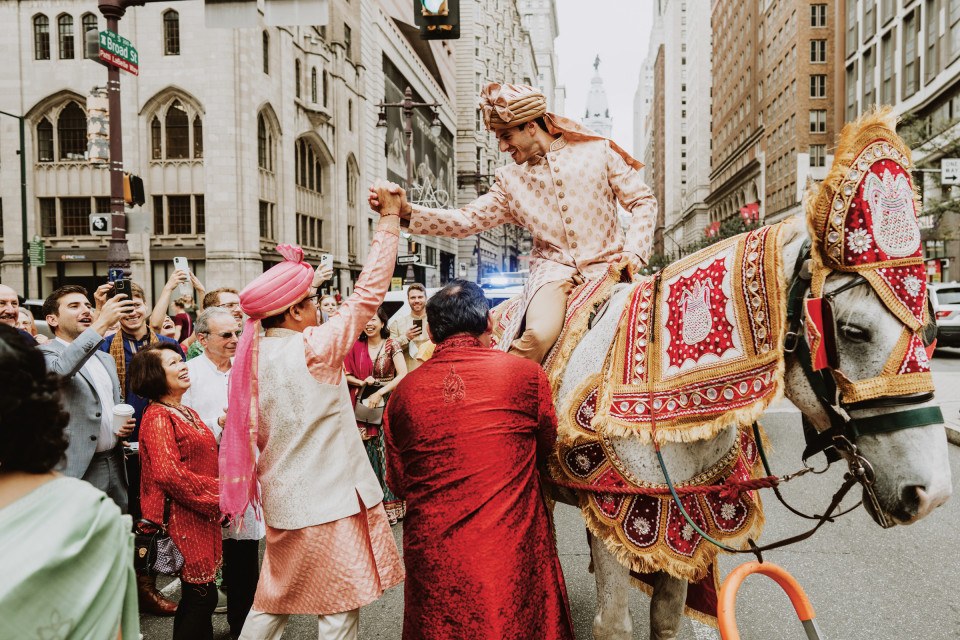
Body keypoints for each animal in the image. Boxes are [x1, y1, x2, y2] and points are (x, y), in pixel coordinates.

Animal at [556, 218, 952, 636]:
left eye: (929, 330)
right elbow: (613, 624)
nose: (933, 493)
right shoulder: (616, 518)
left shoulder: (679, 525)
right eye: (853, 331)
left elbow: (666, 614)